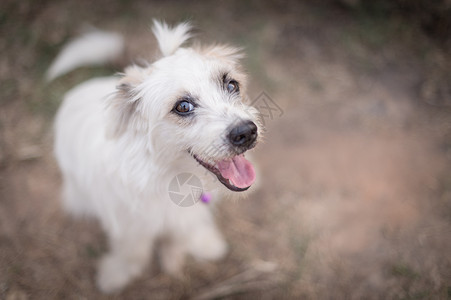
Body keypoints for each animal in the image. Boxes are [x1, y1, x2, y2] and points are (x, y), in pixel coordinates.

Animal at [50, 21, 262, 292]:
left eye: (231, 85)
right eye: (183, 106)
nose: (246, 132)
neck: (167, 173)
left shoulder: (185, 215)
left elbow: (183, 231)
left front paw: (194, 247)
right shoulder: (128, 224)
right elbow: (133, 251)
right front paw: (117, 273)